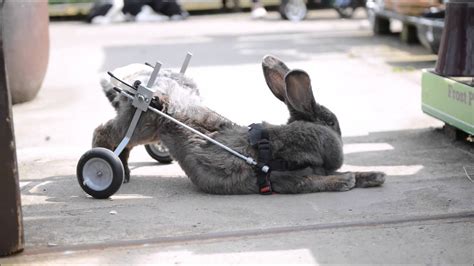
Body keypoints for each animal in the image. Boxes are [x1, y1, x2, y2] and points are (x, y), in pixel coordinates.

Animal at [92, 55, 386, 193]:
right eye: (332, 122)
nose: (338, 133)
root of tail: (140, 88)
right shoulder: (284, 180)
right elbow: (310, 182)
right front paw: (345, 181)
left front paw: (374, 176)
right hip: (143, 123)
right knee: (105, 133)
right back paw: (109, 169)